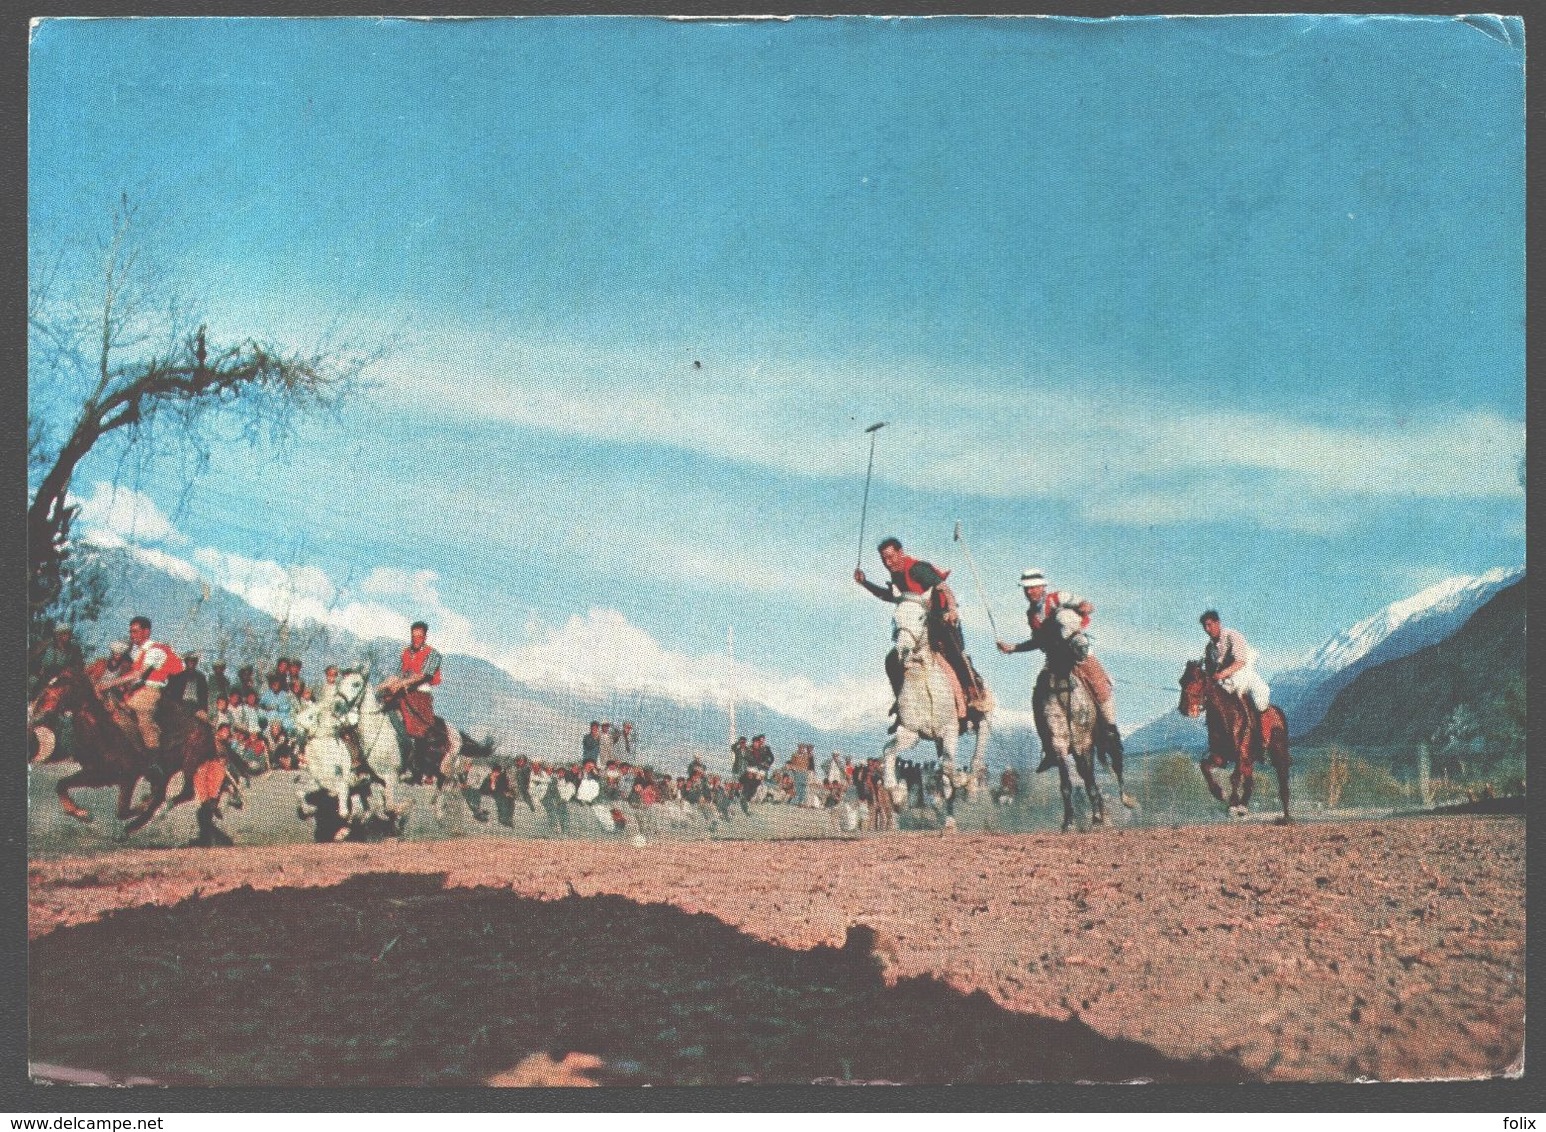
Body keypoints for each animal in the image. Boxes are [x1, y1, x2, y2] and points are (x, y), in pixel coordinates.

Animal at [31, 661, 217, 841]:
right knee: (161, 794)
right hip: (167, 771)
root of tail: (204, 721)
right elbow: (61, 784)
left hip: (190, 760)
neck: (106, 732)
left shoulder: (129, 776)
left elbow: (123, 811)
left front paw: (143, 803)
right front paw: (83, 814)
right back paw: (131, 826)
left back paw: (159, 810)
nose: (38, 710)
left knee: (185, 792)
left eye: (65, 681)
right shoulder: (97, 775)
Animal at [884, 596, 989, 828]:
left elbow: (948, 766)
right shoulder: (910, 732)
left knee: (977, 752)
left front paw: (961, 780)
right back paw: (948, 821)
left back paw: (970, 789)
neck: (922, 676)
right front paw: (897, 795)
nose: (903, 650)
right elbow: (888, 751)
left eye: (921, 617)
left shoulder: (950, 729)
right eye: (894, 618)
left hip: (982, 720)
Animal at [1181, 658, 1292, 828]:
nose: (1183, 709)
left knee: (1282, 783)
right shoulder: (1220, 756)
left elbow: (1234, 778)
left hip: (1278, 755)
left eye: (1196, 680)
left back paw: (1286, 818)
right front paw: (1219, 793)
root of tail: (1277, 712)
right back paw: (1243, 806)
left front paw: (1232, 804)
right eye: (1181, 681)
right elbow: (1204, 766)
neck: (1226, 716)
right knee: (1250, 782)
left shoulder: (1241, 755)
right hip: (1249, 762)